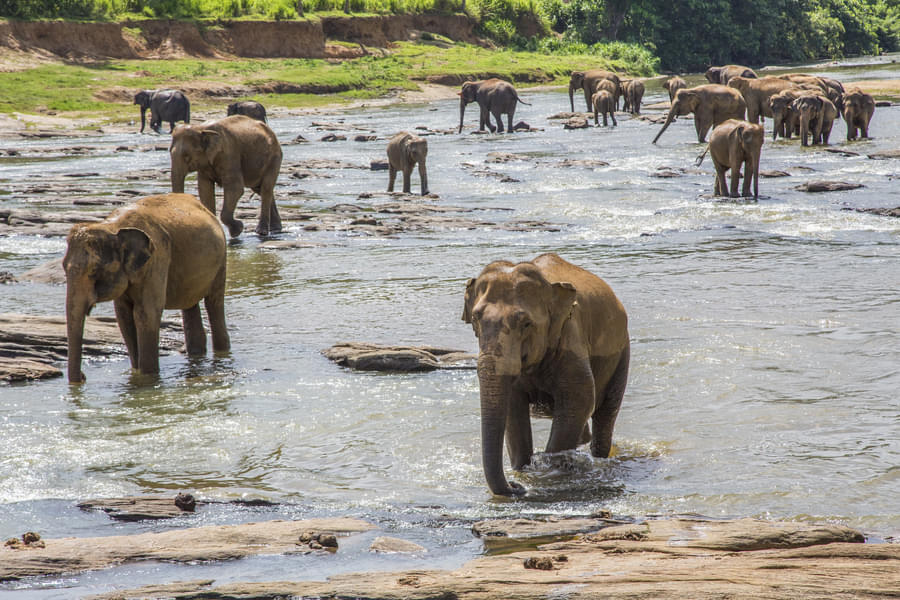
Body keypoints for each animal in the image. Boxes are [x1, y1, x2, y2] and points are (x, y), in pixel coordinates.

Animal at [460, 253, 628, 496]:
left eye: (526, 324)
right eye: (475, 320)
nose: (516, 486)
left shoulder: (570, 337)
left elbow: (580, 399)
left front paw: (546, 472)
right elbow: (513, 408)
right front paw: (524, 469)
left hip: (622, 353)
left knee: (606, 415)